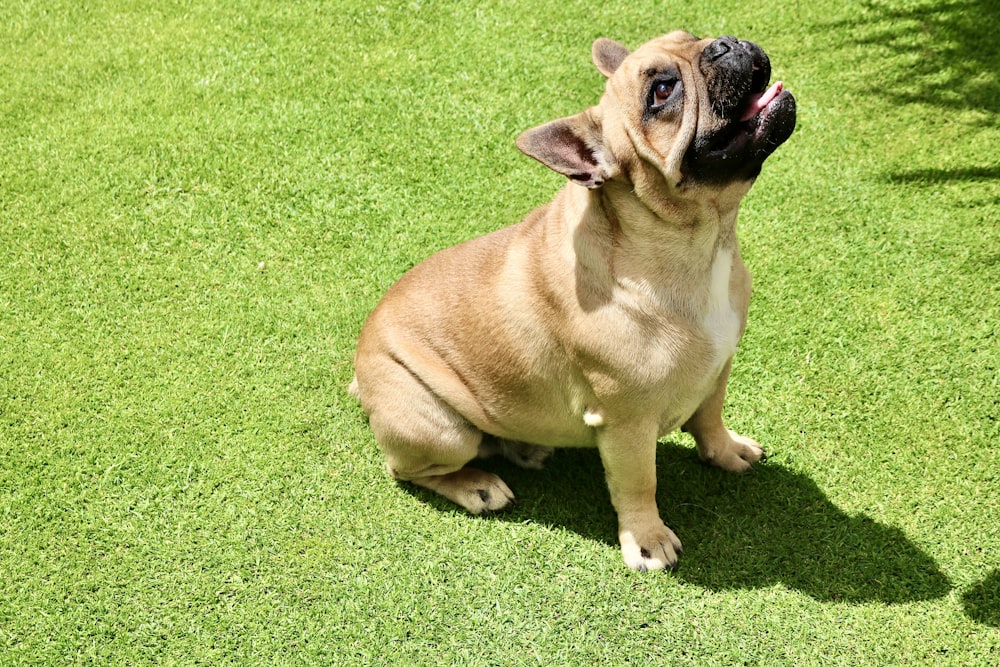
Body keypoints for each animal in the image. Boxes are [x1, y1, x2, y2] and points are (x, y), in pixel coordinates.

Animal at [350, 31, 796, 572]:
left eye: (691, 37)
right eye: (662, 92)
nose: (724, 44)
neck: (698, 242)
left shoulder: (719, 367)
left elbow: (710, 417)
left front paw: (727, 451)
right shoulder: (626, 423)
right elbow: (639, 483)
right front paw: (647, 540)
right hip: (438, 429)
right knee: (409, 469)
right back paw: (476, 485)